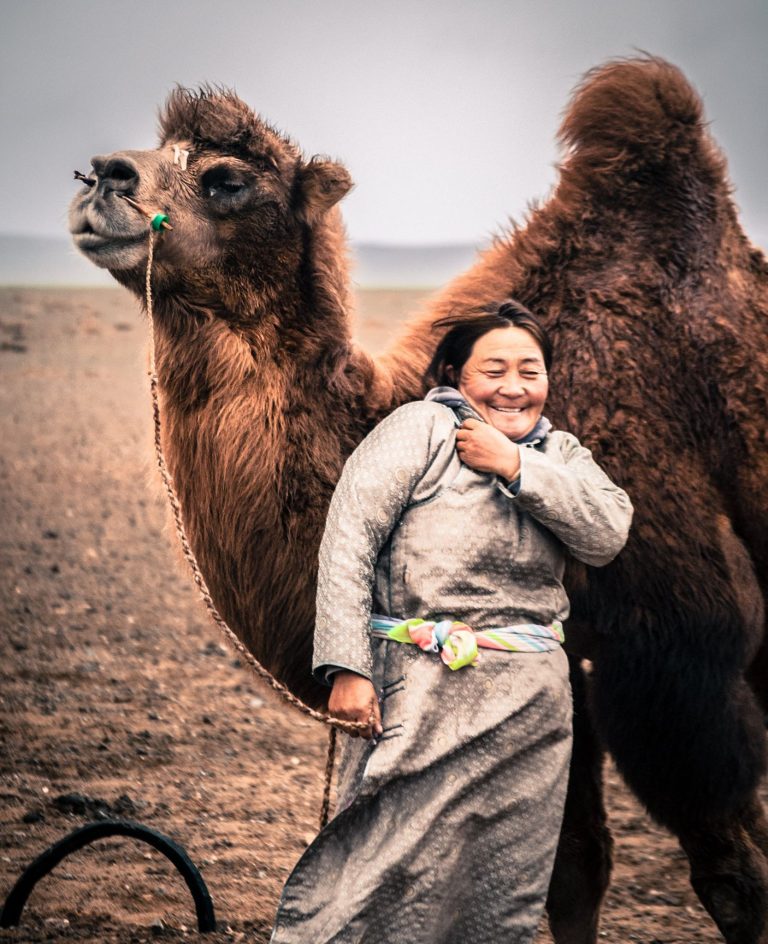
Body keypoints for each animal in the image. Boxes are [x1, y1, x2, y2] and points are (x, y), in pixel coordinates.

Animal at [69, 57, 768, 943]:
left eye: (228, 179)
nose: (102, 174)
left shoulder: (678, 647)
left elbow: (732, 872)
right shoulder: (565, 657)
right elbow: (571, 867)